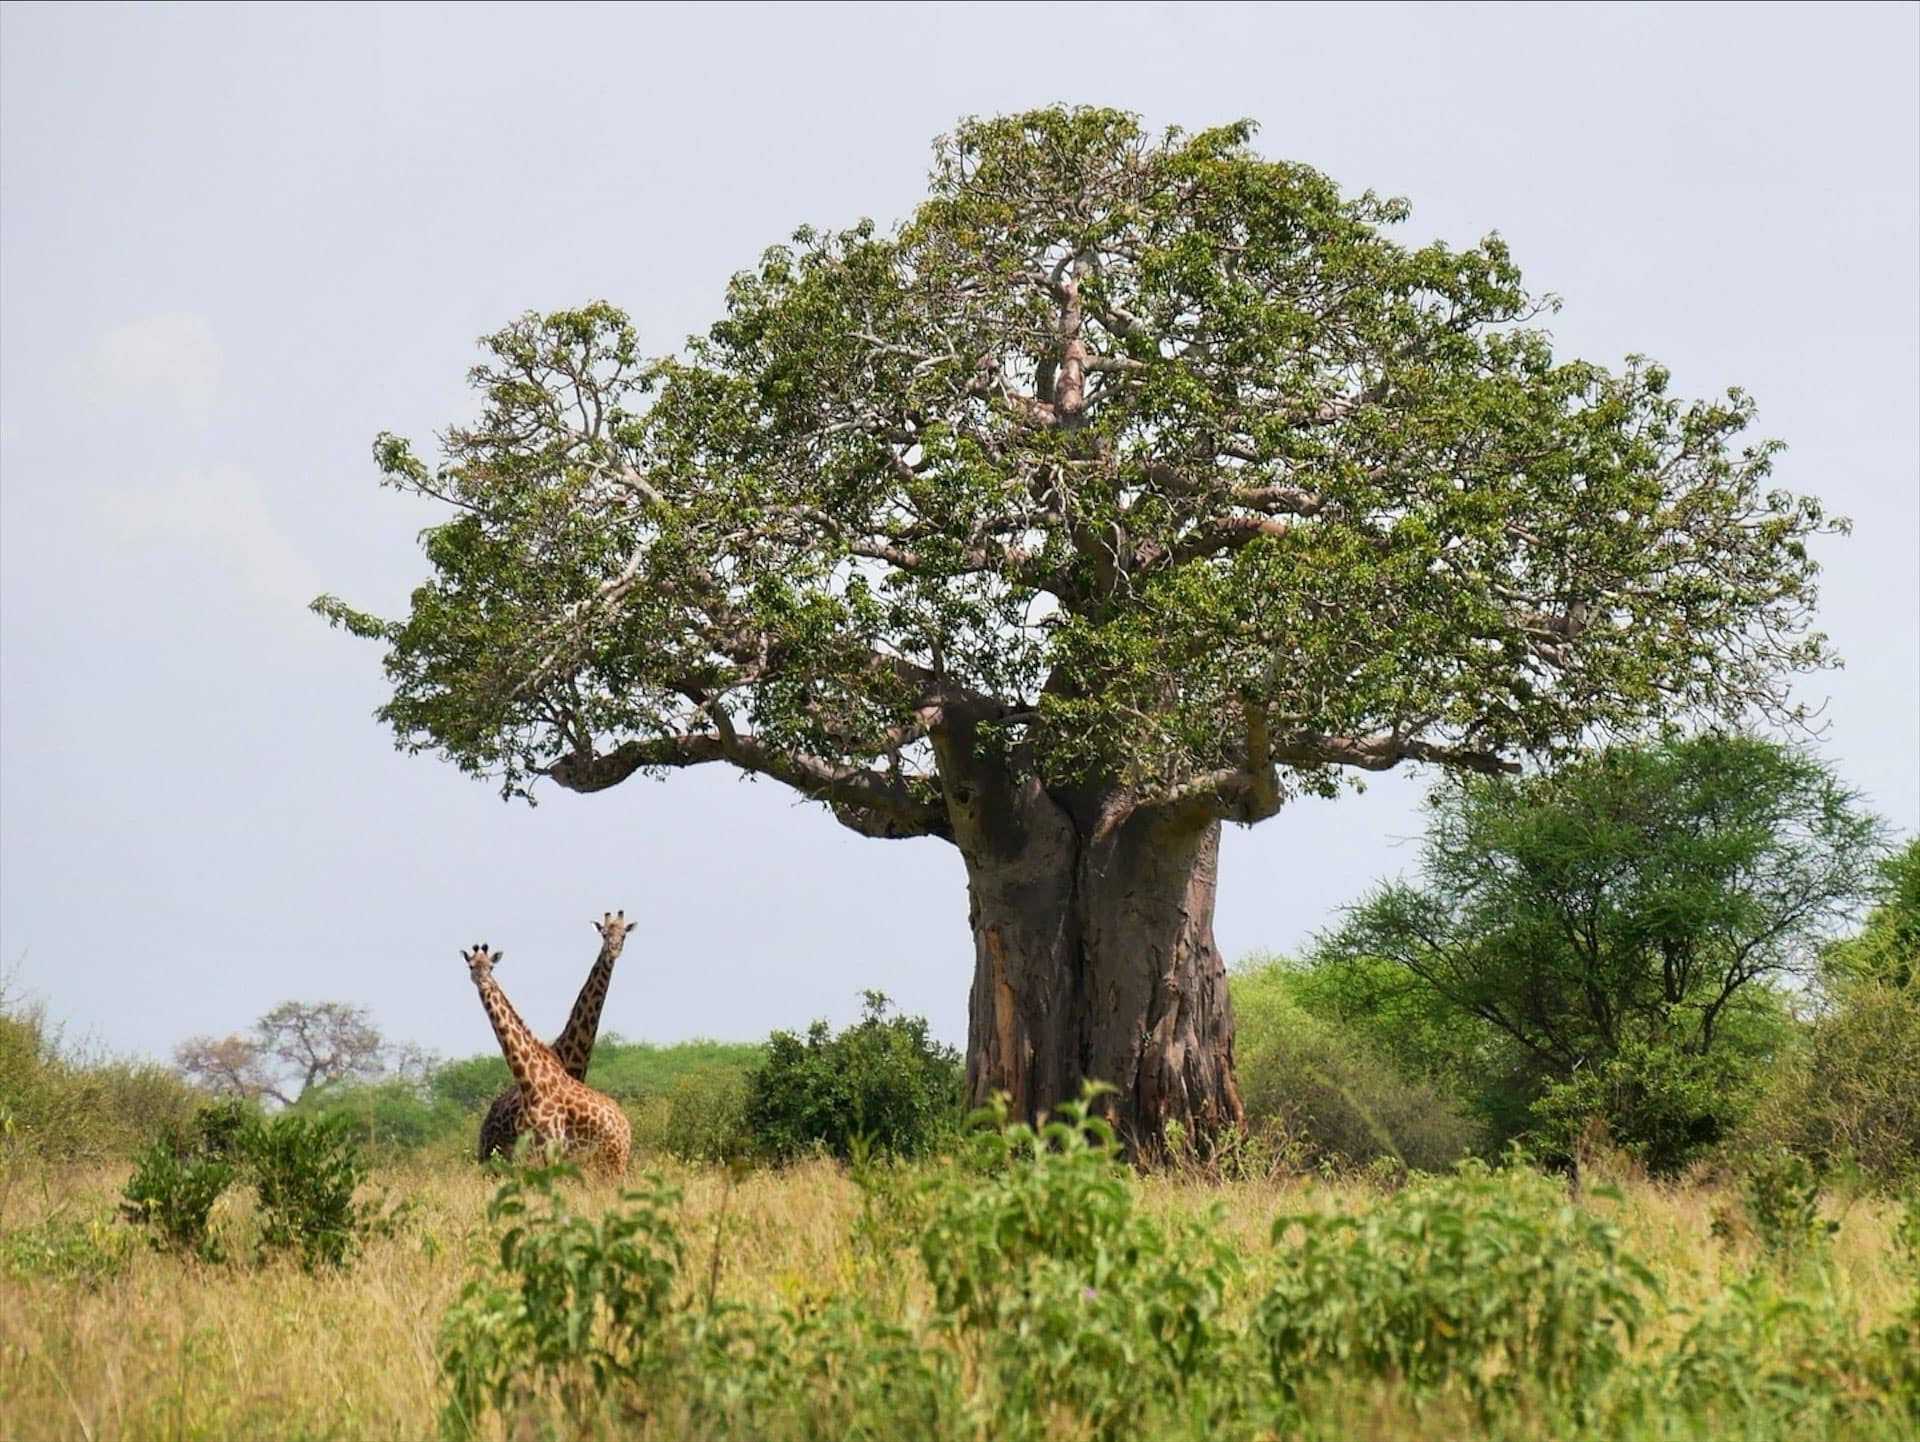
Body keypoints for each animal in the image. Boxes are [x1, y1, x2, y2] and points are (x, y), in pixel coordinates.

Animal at [462, 942, 631, 1176]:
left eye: (491, 967)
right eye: (471, 966)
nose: (482, 980)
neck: (530, 1080)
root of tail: (626, 1128)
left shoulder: (550, 1147)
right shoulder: (534, 1149)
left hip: (613, 1159)